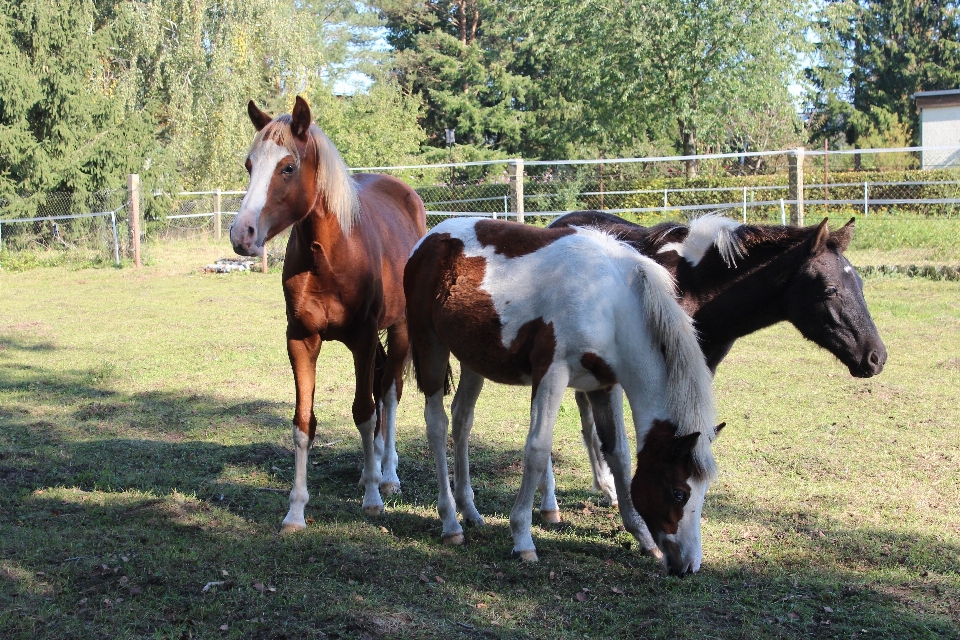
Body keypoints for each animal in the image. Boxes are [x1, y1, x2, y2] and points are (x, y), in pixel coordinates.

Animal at [229, 96, 424, 528]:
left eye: (288, 167)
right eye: (250, 165)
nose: (242, 234)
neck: (330, 256)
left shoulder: (363, 338)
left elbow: (364, 411)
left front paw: (373, 498)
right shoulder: (301, 340)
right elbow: (304, 423)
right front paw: (296, 510)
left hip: (401, 328)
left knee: (389, 393)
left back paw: (388, 475)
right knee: (381, 386)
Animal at [404, 219, 720, 576]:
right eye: (679, 493)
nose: (688, 566)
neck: (609, 302)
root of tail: (431, 238)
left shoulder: (603, 387)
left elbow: (619, 454)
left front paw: (642, 537)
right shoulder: (552, 374)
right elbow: (537, 450)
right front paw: (522, 539)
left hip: (473, 360)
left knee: (461, 420)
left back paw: (469, 511)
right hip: (430, 347)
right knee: (437, 425)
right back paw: (450, 523)